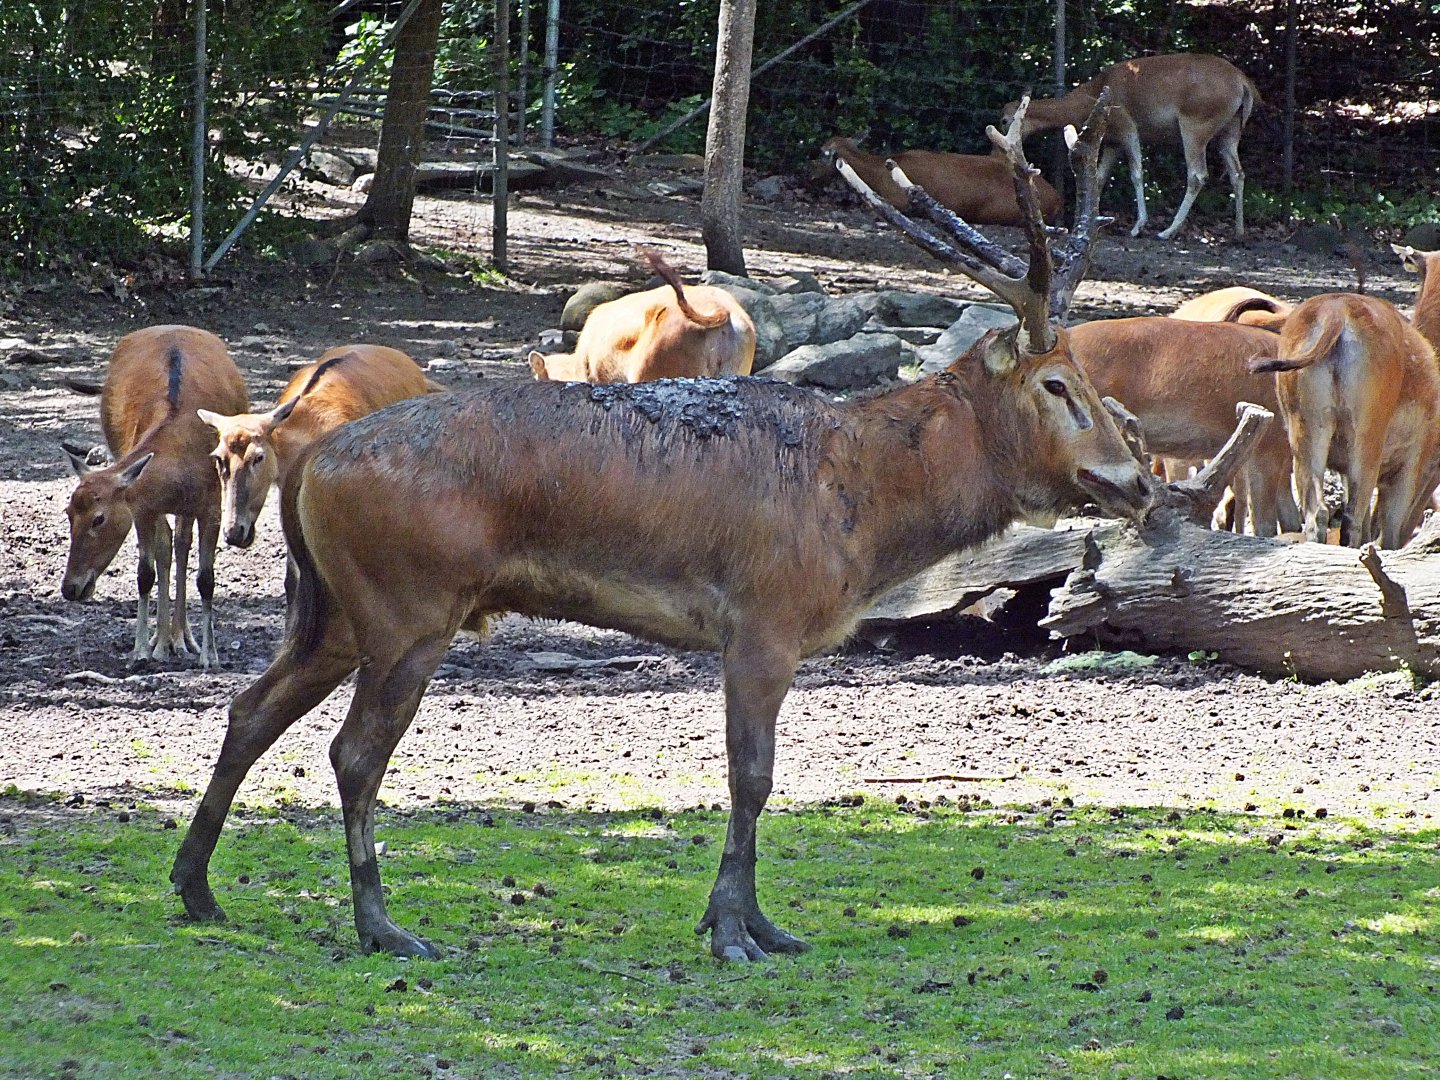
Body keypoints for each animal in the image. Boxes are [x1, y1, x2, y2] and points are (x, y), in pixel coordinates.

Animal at [61, 325, 249, 667]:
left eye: (98, 519)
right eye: (68, 513)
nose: (70, 587)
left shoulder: (212, 506)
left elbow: (206, 579)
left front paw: (211, 656)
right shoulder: (141, 506)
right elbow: (145, 573)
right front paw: (140, 650)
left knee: (182, 544)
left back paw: (184, 639)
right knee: (169, 545)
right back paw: (163, 641)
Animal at [1004, 53, 1259, 240]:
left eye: (1005, 120)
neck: (1093, 94)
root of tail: (1244, 83)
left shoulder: (1128, 129)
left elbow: (1136, 174)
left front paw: (1138, 227)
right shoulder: (1112, 142)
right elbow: (1099, 177)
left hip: (1195, 127)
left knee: (1197, 175)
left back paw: (1166, 231)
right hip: (1230, 132)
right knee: (1237, 173)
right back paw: (1238, 232)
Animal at [1251, 293, 1440, 548]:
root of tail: (1336, 311)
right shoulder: (1414, 457)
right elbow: (1390, 528)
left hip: (1305, 422)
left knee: (1317, 512)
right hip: (1367, 429)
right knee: (1353, 518)